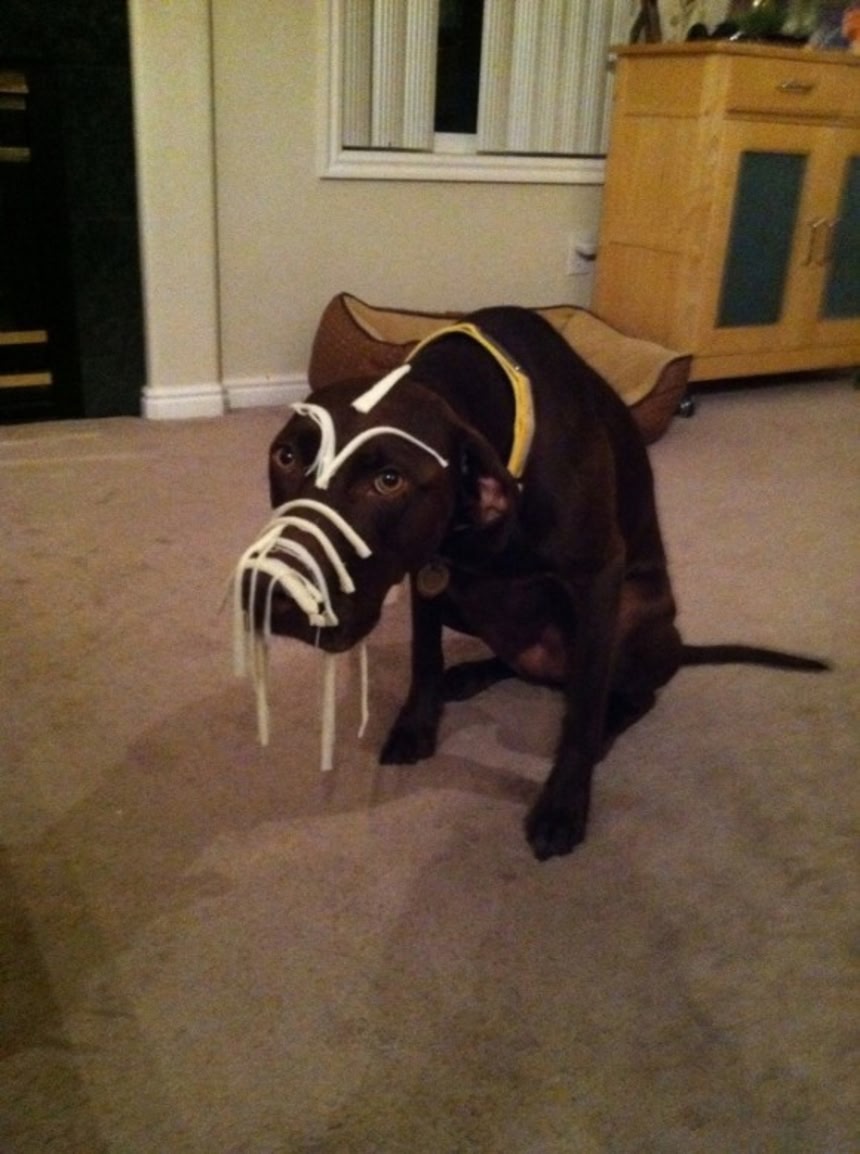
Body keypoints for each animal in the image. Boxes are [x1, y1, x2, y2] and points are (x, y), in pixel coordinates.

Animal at [238, 306, 827, 860]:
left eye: (389, 481)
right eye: (285, 455)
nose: (271, 590)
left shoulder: (598, 575)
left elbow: (585, 704)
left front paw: (563, 803)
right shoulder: (429, 572)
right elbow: (424, 657)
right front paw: (417, 724)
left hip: (632, 608)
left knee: (630, 693)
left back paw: (604, 726)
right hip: (470, 603)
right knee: (522, 664)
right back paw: (469, 674)